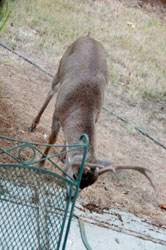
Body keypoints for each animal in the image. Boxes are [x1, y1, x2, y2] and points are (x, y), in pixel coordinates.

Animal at [29, 35, 156, 191]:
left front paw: (63, 157)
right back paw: (33, 125)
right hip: (59, 69)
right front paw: (40, 165)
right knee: (50, 92)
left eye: (87, 186)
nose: (71, 194)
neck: (80, 107)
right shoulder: (57, 114)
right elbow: (52, 139)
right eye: (75, 176)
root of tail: (88, 36)